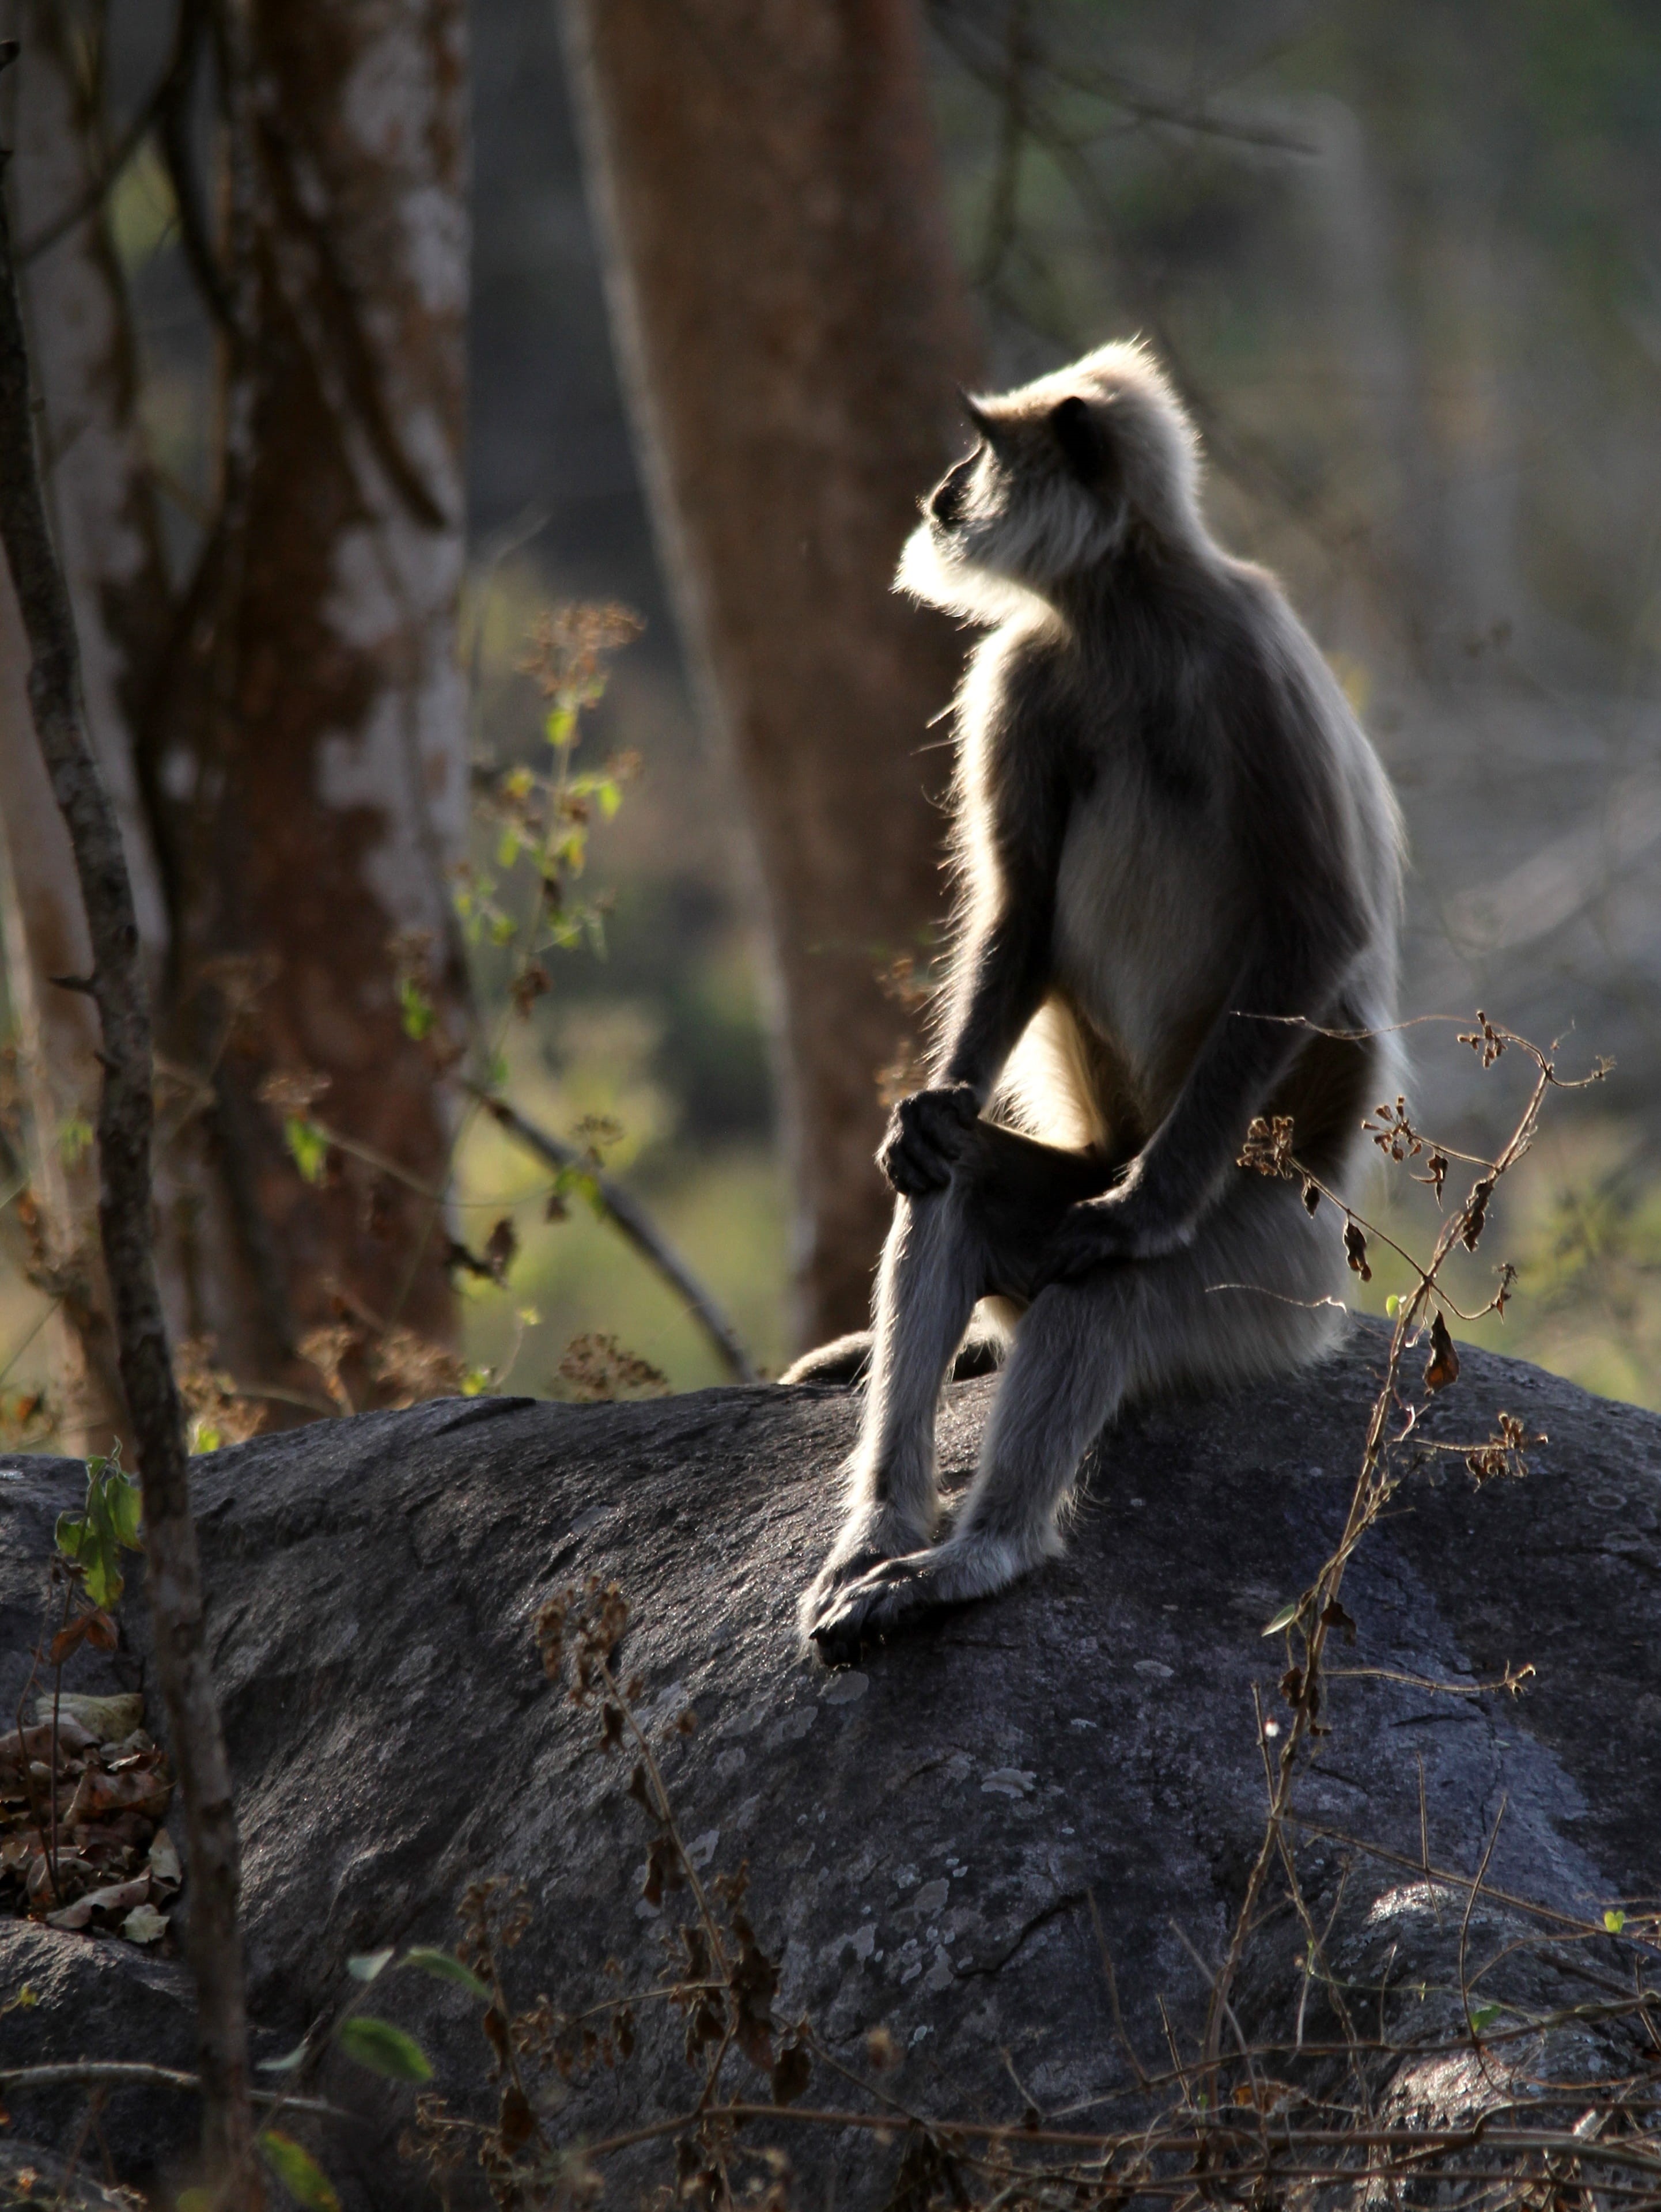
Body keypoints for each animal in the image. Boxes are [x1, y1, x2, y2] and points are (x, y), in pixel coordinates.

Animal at [791, 340, 1404, 1667]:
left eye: (978, 450)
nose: (937, 496)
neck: (1121, 615)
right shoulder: (1021, 669)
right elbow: (1017, 913)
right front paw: (926, 1112)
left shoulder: (1249, 649)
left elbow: (1320, 925)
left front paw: (1138, 1215)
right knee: (960, 1190)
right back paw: (879, 1541)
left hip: (1271, 1271)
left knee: (1101, 1292)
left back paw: (977, 1554)